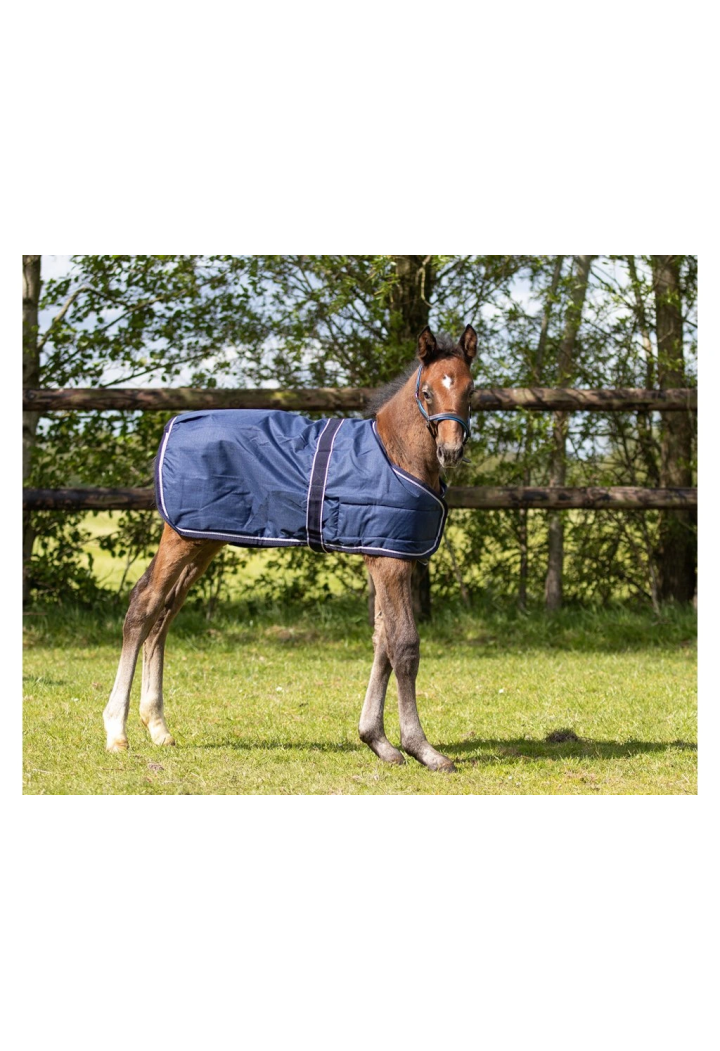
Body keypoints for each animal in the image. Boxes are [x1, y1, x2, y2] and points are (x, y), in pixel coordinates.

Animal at [103, 324, 477, 772]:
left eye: (471, 390)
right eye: (427, 393)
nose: (451, 451)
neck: (395, 455)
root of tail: (174, 423)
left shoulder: (390, 556)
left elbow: (382, 644)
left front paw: (377, 741)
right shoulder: (389, 563)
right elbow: (403, 646)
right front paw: (421, 748)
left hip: (202, 538)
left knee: (165, 613)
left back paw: (158, 726)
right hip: (181, 537)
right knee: (144, 605)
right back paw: (117, 732)